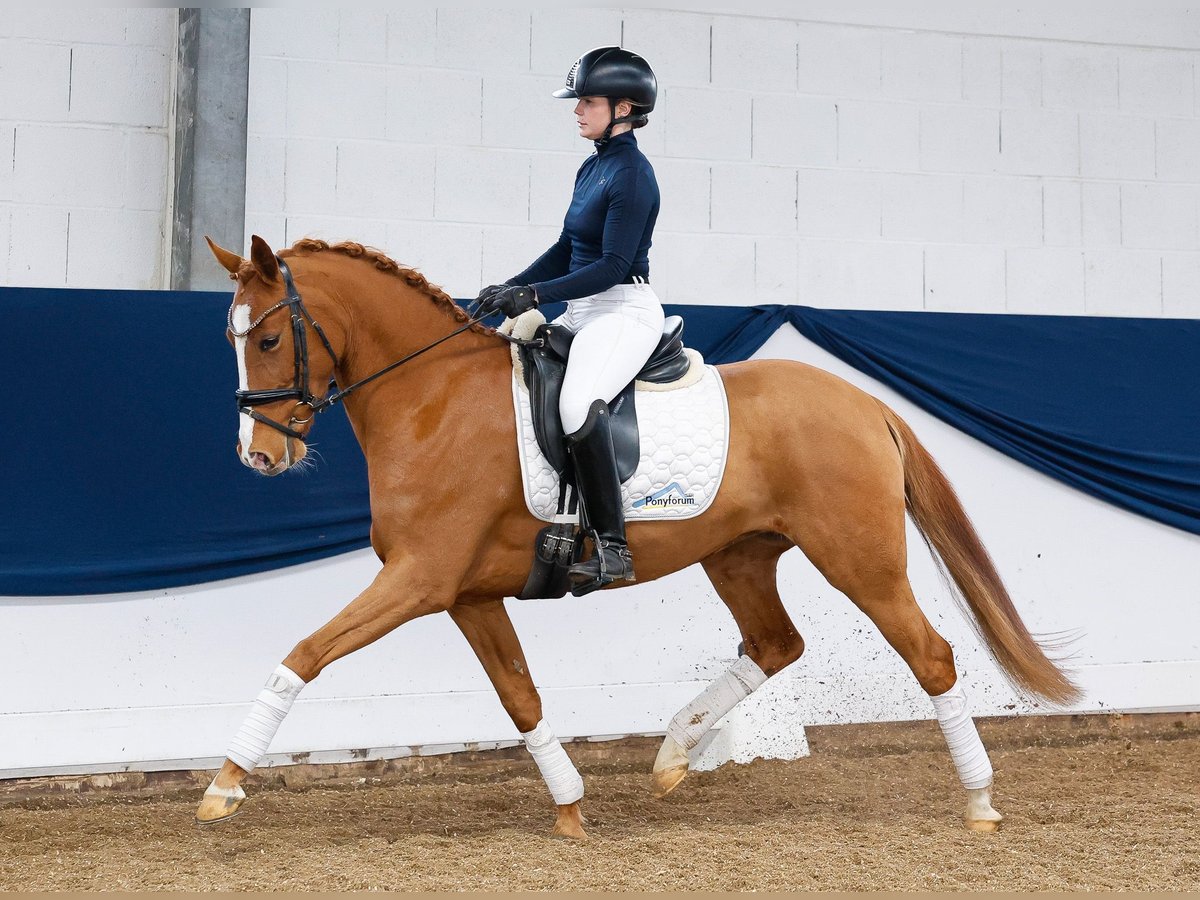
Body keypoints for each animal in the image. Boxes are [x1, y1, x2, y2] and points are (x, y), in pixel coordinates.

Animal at [196, 234, 1080, 840]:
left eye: (267, 338)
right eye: (231, 339)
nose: (259, 456)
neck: (431, 397)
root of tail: (865, 404)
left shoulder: (418, 579)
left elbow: (304, 655)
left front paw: (226, 784)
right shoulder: (466, 594)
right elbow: (520, 697)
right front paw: (571, 810)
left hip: (861, 561)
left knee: (930, 656)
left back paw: (980, 803)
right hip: (738, 557)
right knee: (775, 644)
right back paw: (674, 757)